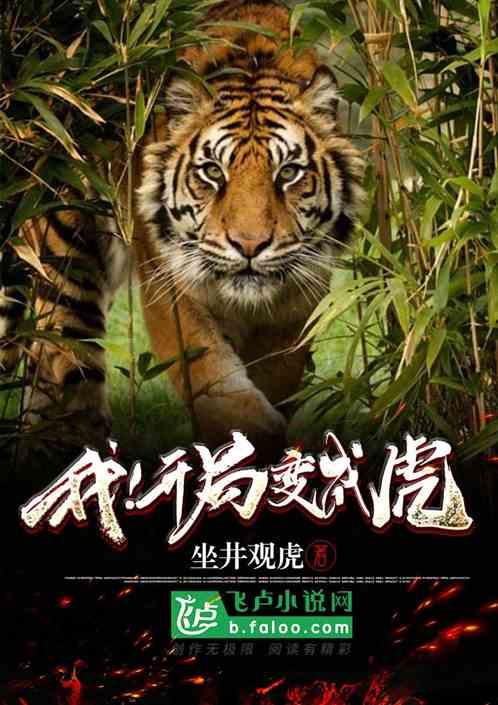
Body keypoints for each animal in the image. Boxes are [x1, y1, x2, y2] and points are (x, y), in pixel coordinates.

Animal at [0, 0, 364, 454]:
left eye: (288, 173)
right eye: (212, 172)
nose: (249, 245)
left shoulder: (297, 299)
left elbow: (277, 377)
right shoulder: (171, 285)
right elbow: (215, 383)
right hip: (66, 244)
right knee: (66, 362)